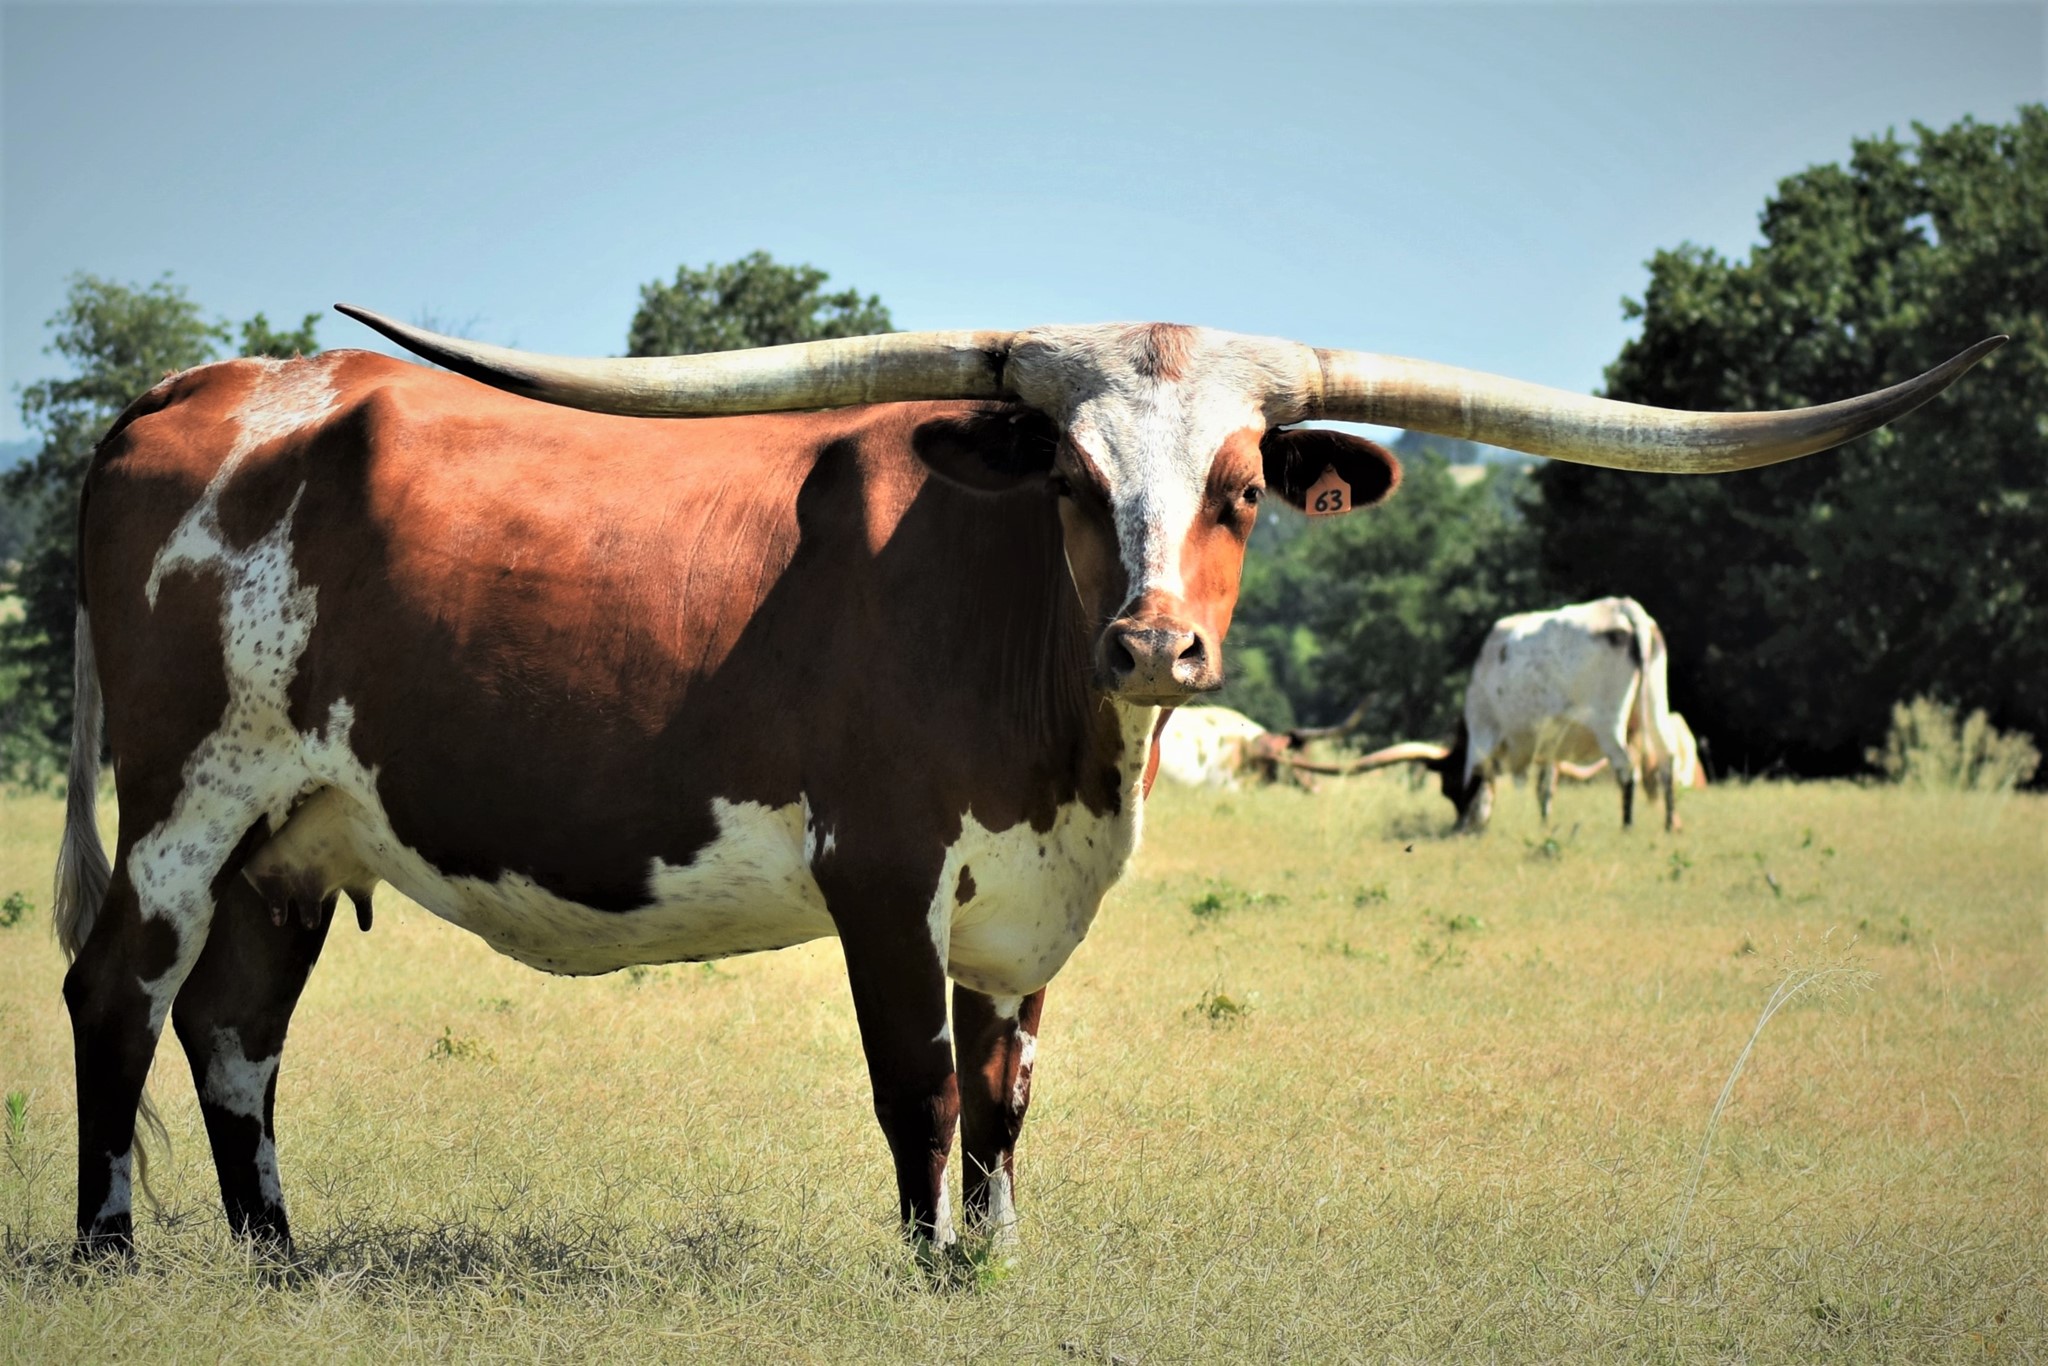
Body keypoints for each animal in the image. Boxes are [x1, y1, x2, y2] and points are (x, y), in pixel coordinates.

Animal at [51, 307, 1999, 1263]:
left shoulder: (1027, 908)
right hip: (185, 799)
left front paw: (990, 1260)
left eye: (1241, 488)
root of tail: (209, 389)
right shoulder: (883, 878)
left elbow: (1003, 1094)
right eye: (1065, 476)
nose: (1156, 641)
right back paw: (114, 1246)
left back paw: (279, 1255)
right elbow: (915, 1087)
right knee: (119, 992)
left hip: (298, 831)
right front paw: (923, 1268)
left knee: (238, 1026)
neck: (1047, 706)